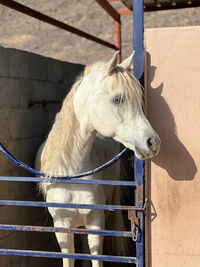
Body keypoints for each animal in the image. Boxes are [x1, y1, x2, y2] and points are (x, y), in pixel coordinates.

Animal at [34, 50, 161, 267]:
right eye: (118, 99)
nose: (153, 142)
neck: (72, 174)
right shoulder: (61, 226)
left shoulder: (96, 222)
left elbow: (95, 259)